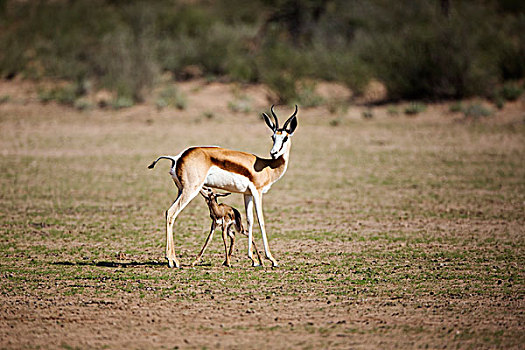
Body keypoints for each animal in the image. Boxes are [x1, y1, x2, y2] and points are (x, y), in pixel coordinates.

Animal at [148, 104, 298, 268]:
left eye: (285, 137)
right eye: (273, 137)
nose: (274, 153)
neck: (267, 167)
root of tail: (178, 157)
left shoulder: (247, 194)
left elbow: (250, 220)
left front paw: (253, 259)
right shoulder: (257, 192)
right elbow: (261, 220)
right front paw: (272, 259)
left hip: (180, 190)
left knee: (168, 212)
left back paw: (173, 259)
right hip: (190, 190)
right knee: (172, 213)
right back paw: (172, 260)